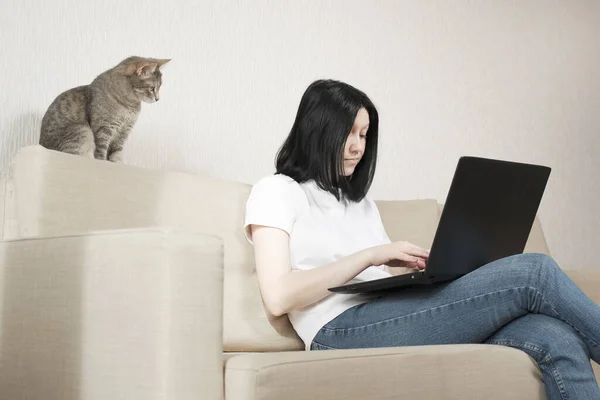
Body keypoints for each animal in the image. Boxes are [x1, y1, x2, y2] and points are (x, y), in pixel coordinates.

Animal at [39, 56, 171, 162]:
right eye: (152, 88)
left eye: (159, 87)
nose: (158, 99)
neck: (129, 106)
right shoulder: (103, 128)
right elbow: (101, 151)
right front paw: (103, 161)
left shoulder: (124, 132)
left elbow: (116, 152)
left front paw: (116, 163)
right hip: (81, 129)